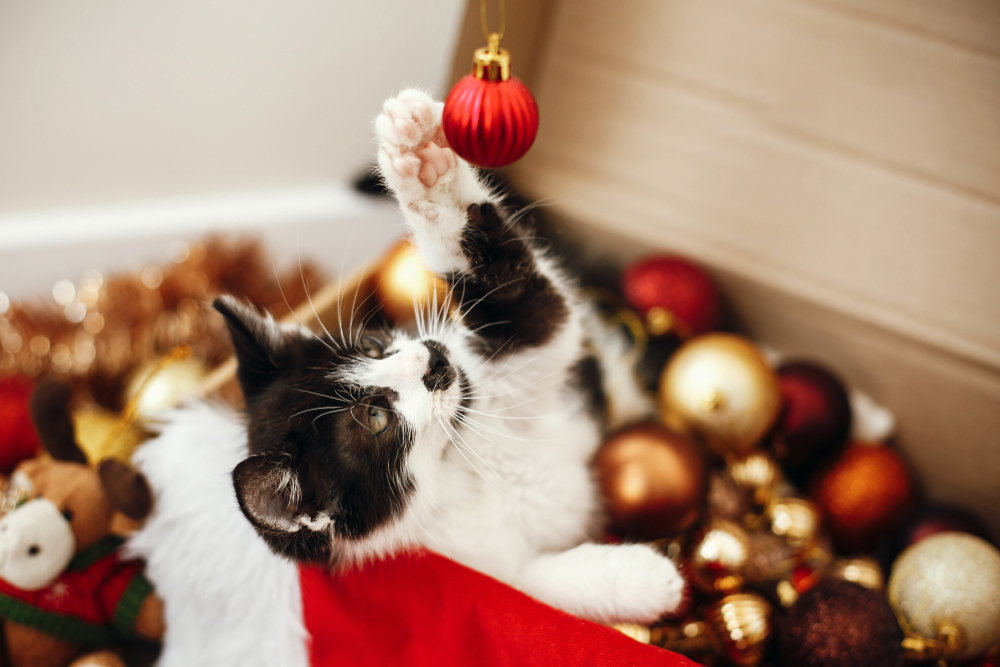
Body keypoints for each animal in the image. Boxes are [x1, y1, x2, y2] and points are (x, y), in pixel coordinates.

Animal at [129, 90, 684, 667]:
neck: (455, 469)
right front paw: (643, 579)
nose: (435, 358)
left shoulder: (503, 380)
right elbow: (529, 593)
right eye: (375, 417)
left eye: (373, 344)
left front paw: (420, 164)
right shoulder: (473, 572)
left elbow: (531, 312)